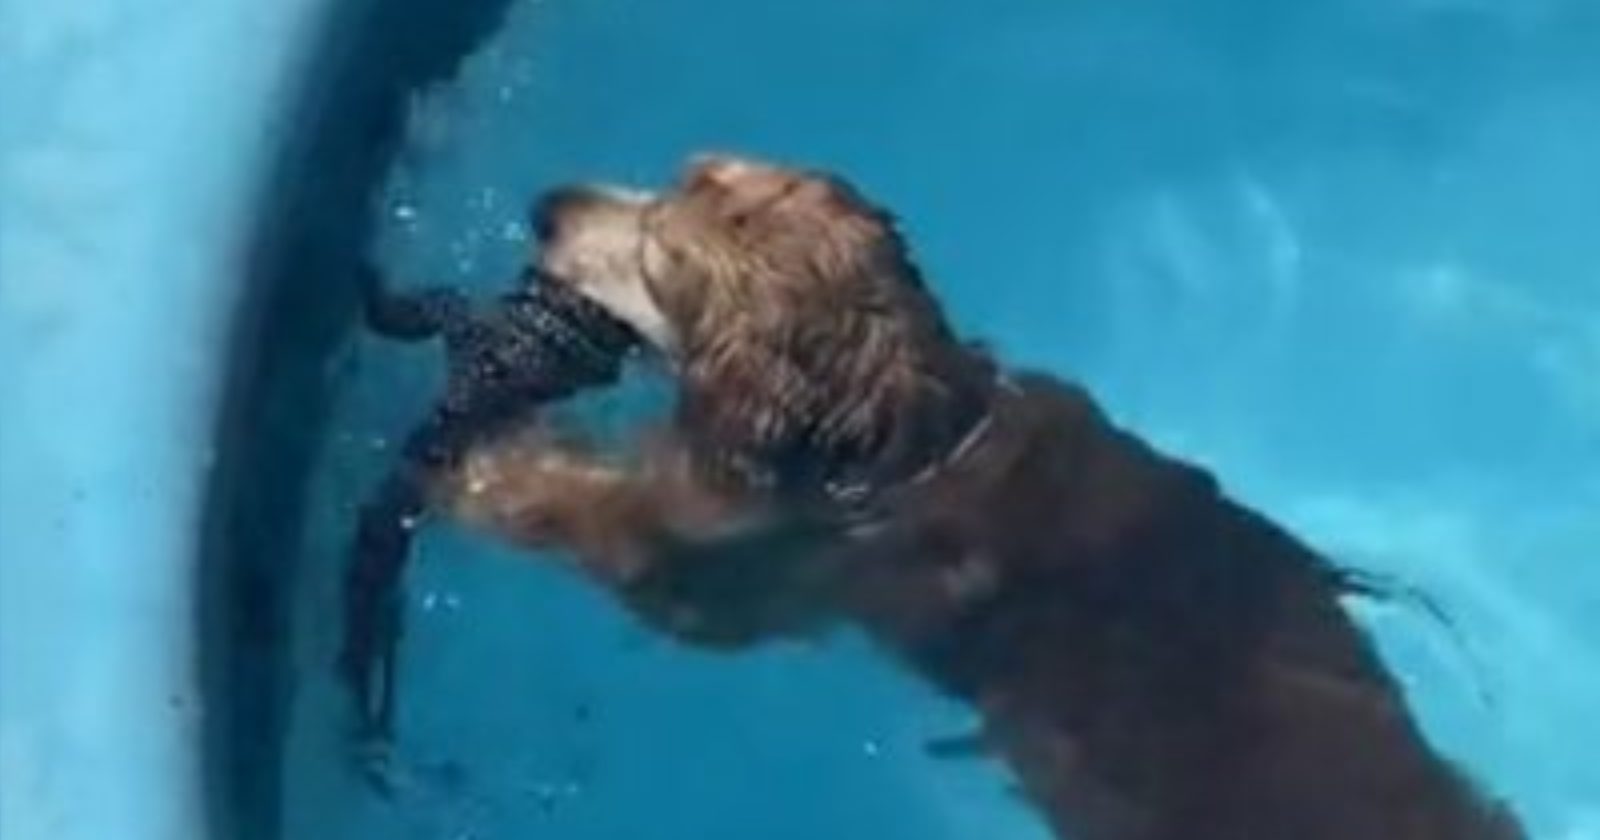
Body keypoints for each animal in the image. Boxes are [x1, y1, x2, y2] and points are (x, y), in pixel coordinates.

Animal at [347, 153, 1523, 832]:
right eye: (680, 175)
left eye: (661, 255)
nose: (544, 207)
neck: (910, 433)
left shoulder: (750, 577)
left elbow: (607, 524)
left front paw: (484, 464)